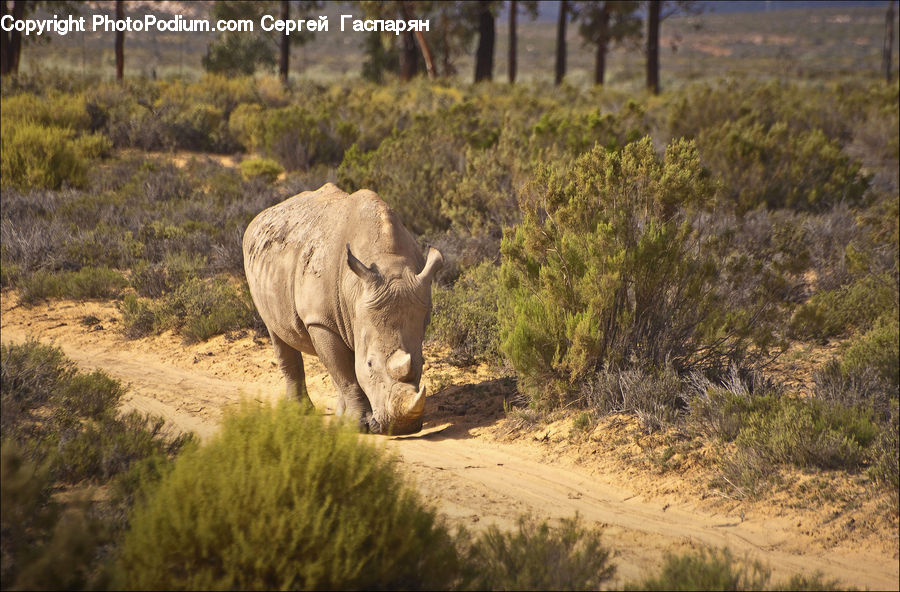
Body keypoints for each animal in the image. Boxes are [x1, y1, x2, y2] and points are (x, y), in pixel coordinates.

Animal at [242, 183, 443, 435]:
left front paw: (350, 423)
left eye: (423, 362)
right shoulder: (320, 321)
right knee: (277, 332)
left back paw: (337, 418)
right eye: (370, 364)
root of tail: (260, 216)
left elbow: (344, 371)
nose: (401, 428)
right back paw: (299, 413)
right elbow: (347, 375)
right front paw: (359, 426)